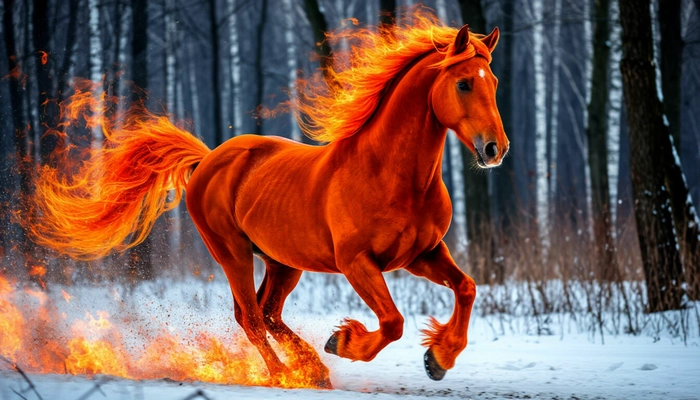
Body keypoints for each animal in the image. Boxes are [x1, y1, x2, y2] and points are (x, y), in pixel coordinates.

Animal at [24, 11, 508, 388]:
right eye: (464, 84)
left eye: (495, 82)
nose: (494, 150)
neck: (391, 174)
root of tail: (206, 160)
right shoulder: (357, 262)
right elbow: (393, 322)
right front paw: (345, 341)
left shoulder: (423, 253)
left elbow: (466, 288)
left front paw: (438, 358)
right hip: (233, 253)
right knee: (252, 317)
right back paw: (287, 374)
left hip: (282, 262)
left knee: (268, 313)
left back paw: (313, 369)